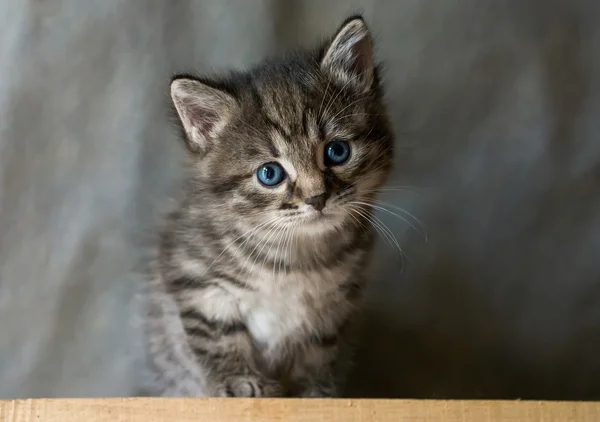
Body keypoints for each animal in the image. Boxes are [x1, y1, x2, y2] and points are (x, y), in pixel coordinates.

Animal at [145, 16, 396, 398]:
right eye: (270, 173)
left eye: (337, 151)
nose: (317, 198)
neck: (295, 260)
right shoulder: (194, 277)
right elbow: (218, 334)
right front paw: (239, 381)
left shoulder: (337, 304)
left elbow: (319, 349)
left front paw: (315, 392)